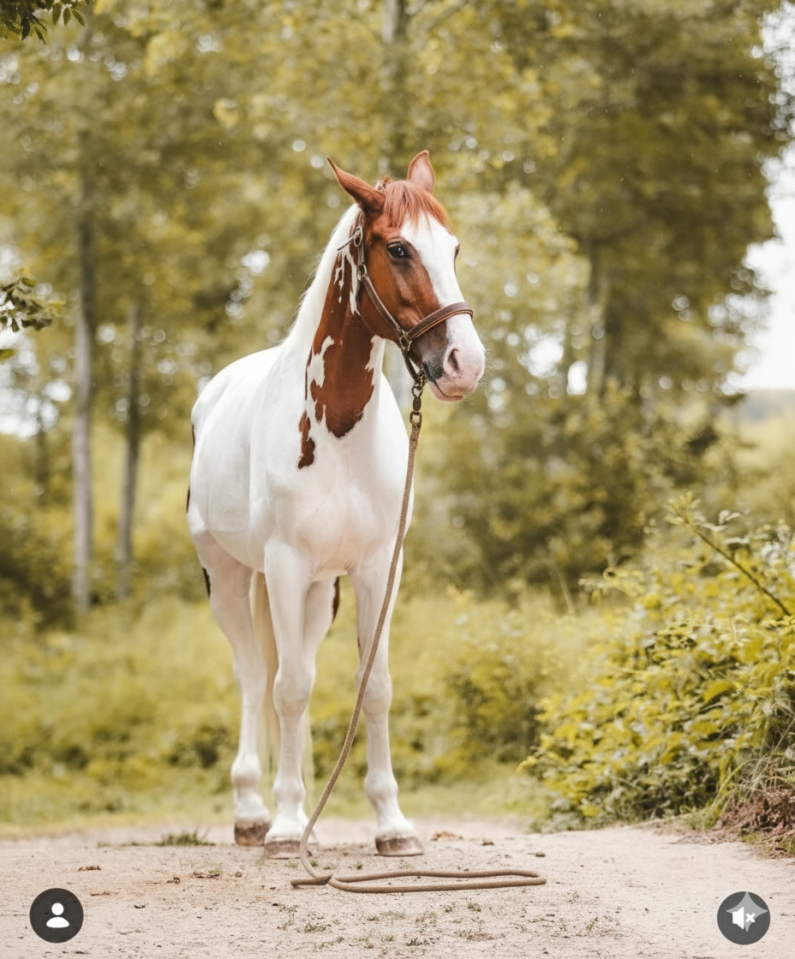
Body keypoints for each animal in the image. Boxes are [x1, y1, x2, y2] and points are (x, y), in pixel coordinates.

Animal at [187, 151, 485, 858]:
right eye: (399, 248)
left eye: (454, 247)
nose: (465, 364)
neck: (339, 431)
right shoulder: (284, 566)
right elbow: (288, 689)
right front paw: (286, 827)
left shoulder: (377, 569)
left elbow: (372, 688)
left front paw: (391, 824)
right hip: (230, 578)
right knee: (253, 677)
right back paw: (255, 812)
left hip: (320, 592)